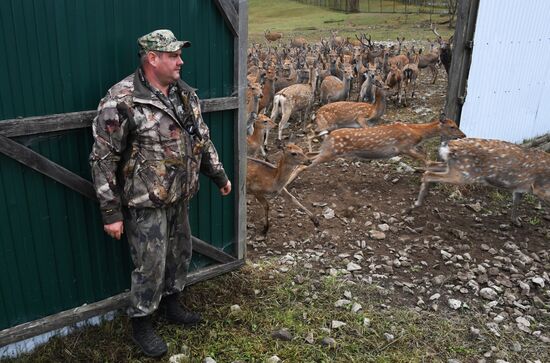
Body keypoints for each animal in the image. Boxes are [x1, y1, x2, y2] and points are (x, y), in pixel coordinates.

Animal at [310, 114, 466, 166]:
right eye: (452, 126)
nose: (463, 135)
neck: (417, 132)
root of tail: (330, 135)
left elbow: (424, 154)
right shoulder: (403, 147)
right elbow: (424, 158)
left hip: (328, 149)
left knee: (308, 154)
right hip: (331, 151)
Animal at [416, 138, 548, 226]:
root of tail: (448, 147)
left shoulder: (519, 187)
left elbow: (516, 202)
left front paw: (516, 221)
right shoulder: (541, 188)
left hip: (453, 167)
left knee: (430, 165)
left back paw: (419, 200)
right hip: (463, 173)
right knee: (428, 174)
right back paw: (418, 202)